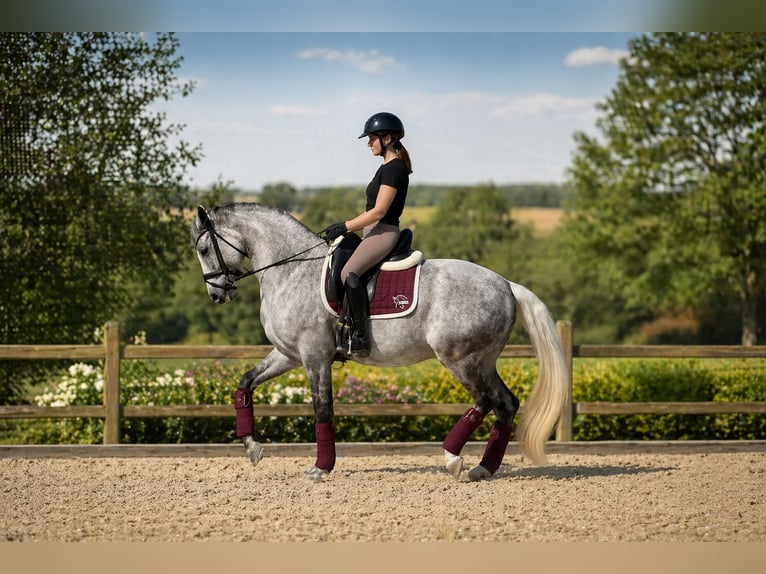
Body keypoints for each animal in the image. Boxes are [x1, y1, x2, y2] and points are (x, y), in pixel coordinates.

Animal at [191, 202, 568, 481]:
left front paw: (320, 468)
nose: (216, 295)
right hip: (483, 360)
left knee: (487, 400)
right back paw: (482, 468)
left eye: (205, 248)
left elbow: (323, 410)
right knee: (505, 403)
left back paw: (453, 458)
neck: (291, 270)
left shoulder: (315, 356)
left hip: (462, 359)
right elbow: (245, 383)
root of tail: (506, 284)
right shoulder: (289, 354)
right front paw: (252, 447)